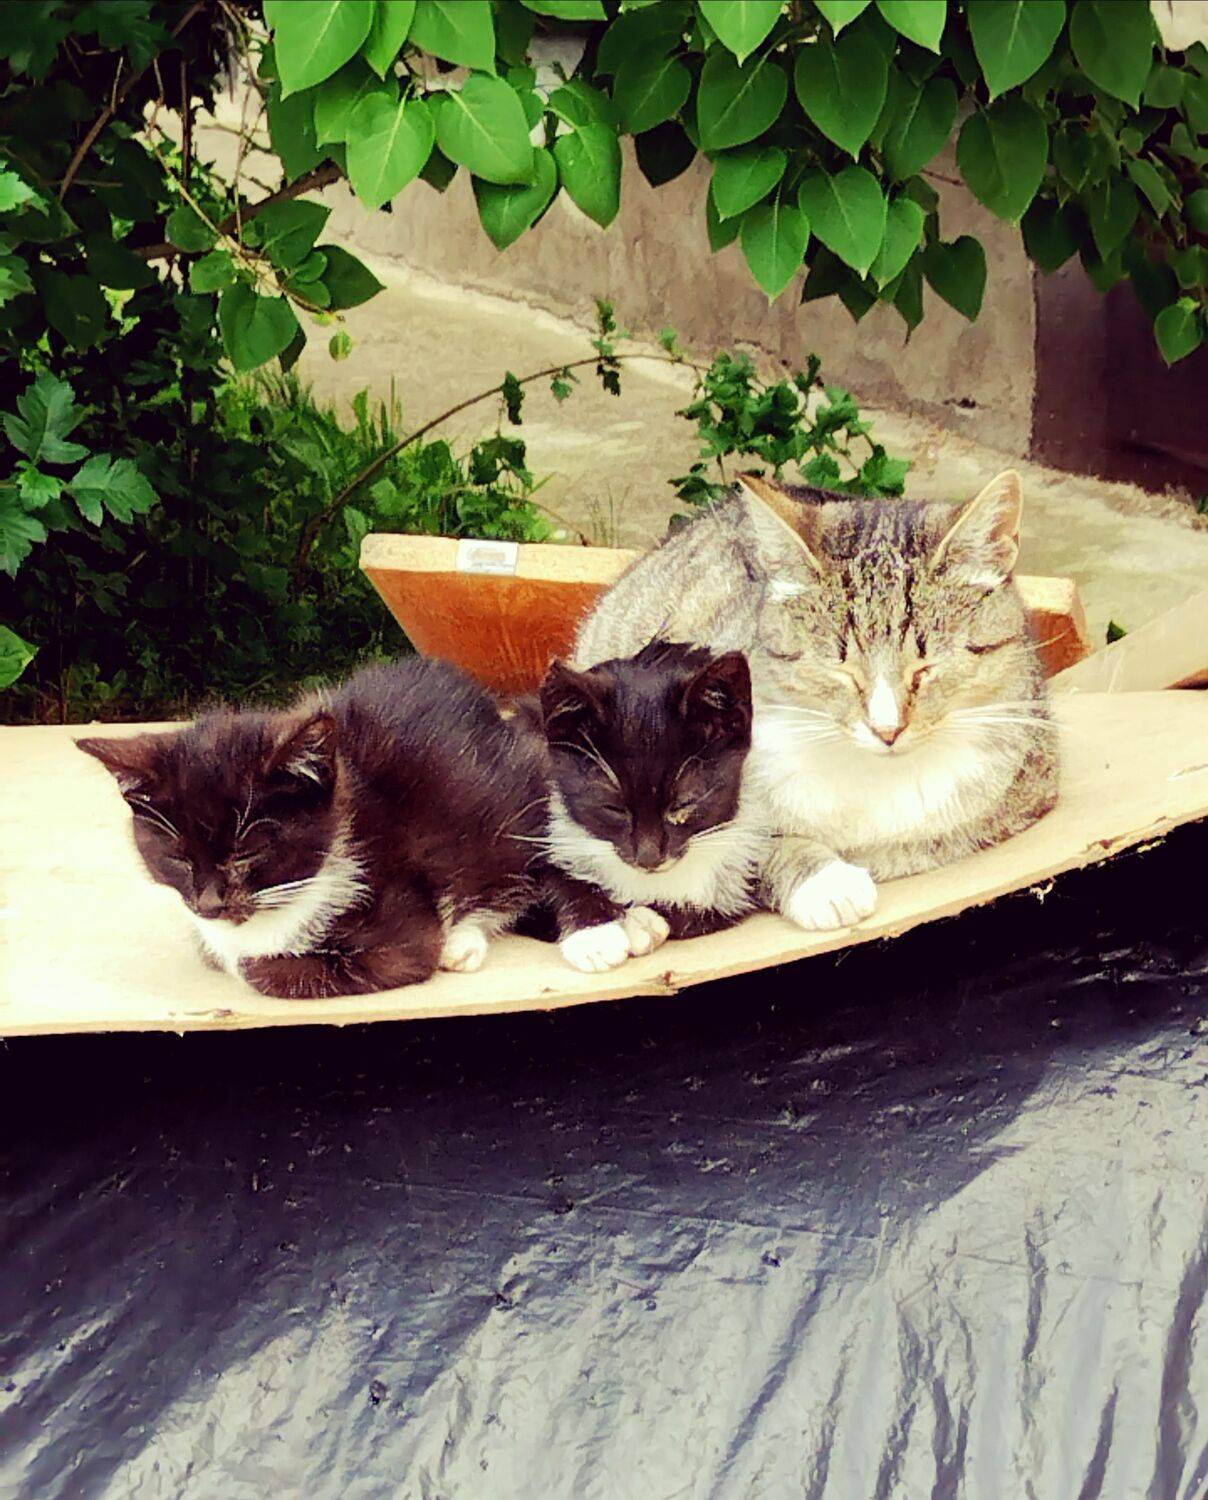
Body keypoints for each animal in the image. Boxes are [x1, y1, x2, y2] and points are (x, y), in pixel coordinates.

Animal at [573, 470, 1058, 931]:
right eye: (841, 670)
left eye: (925, 669)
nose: (887, 730)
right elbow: (752, 848)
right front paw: (826, 883)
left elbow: (930, 842)